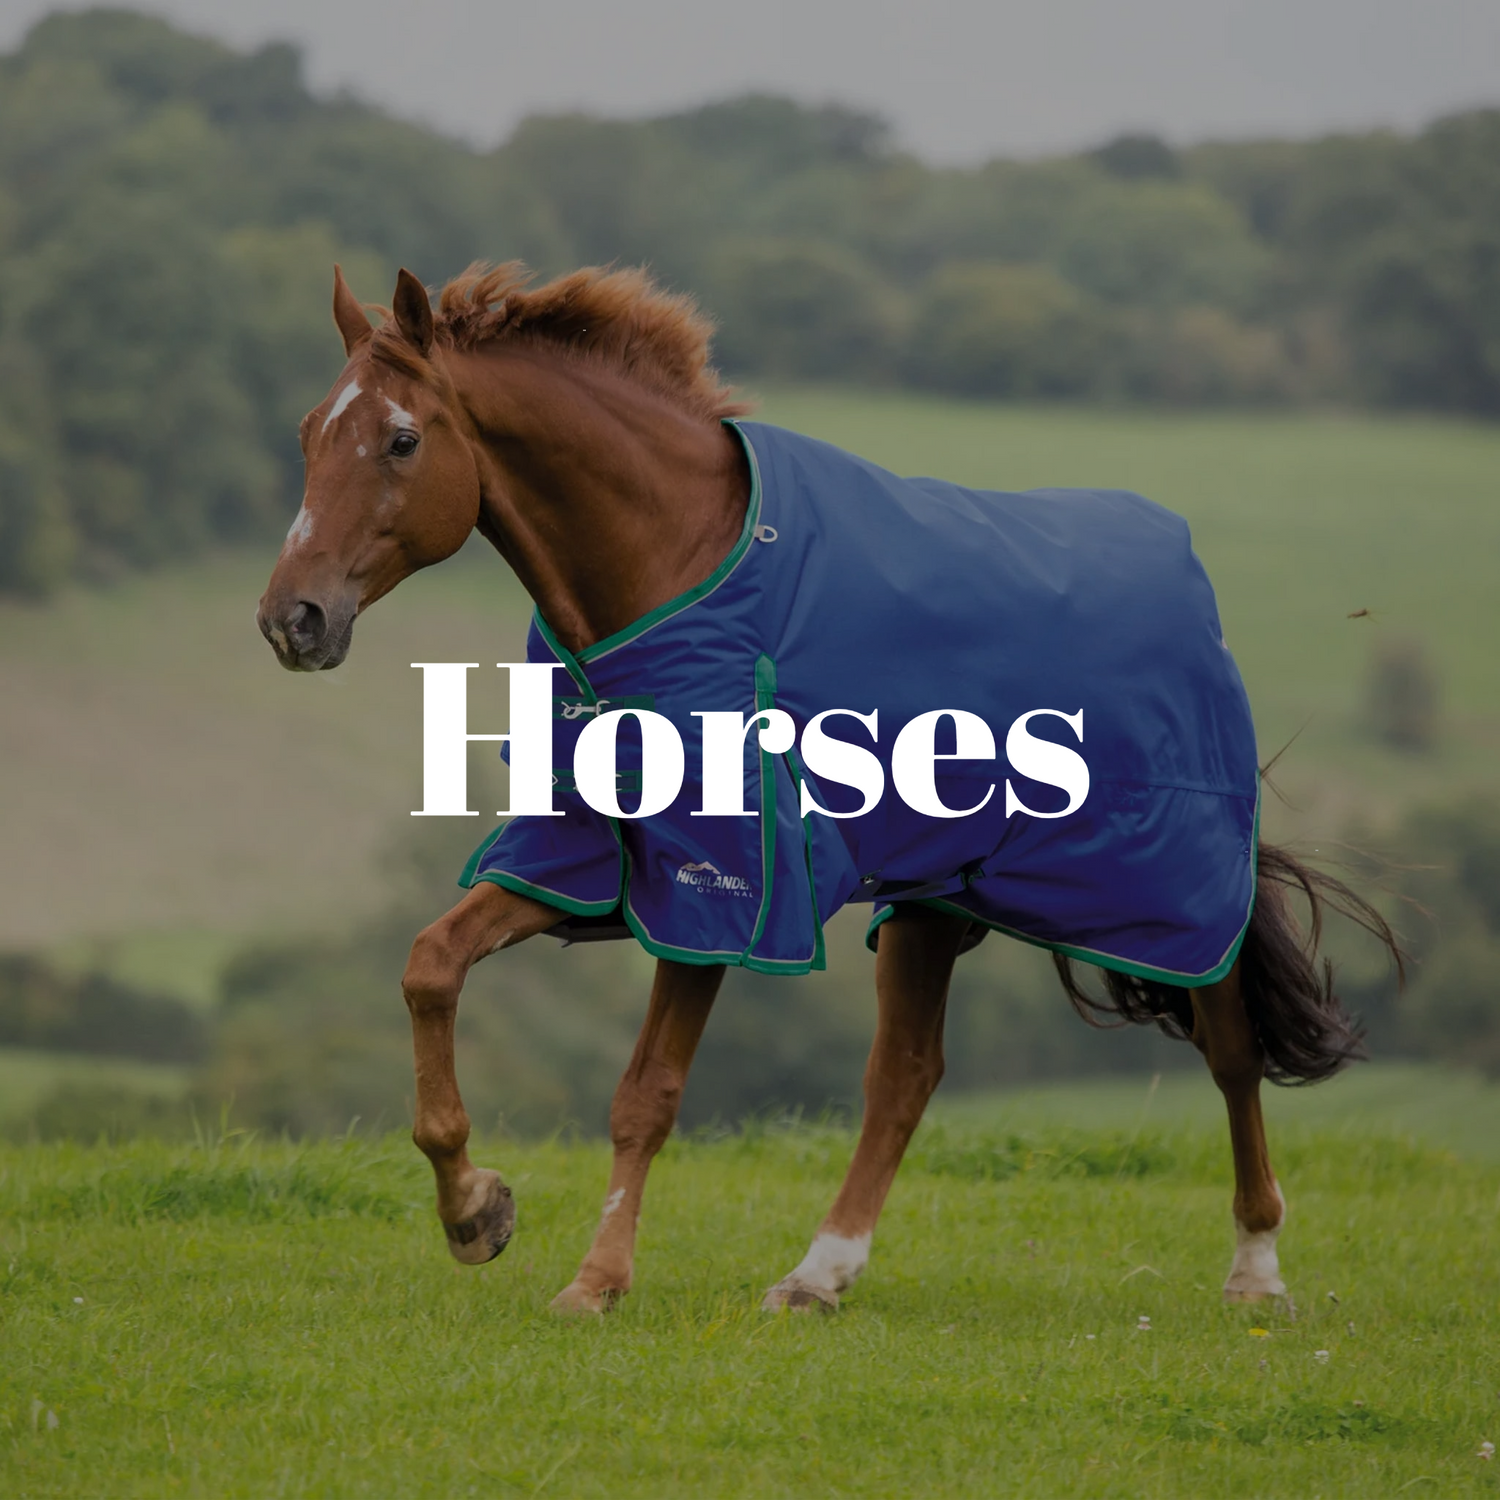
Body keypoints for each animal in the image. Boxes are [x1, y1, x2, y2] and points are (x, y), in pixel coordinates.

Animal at [257, 262, 1401, 1315]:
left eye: (402, 440)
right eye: (311, 431)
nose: (291, 619)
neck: (675, 566)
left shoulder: (726, 881)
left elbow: (646, 1093)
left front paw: (596, 1280)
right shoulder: (583, 855)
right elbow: (431, 968)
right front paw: (475, 1211)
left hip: (1167, 888)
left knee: (1230, 1047)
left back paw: (1256, 1268)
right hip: (938, 895)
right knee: (905, 1077)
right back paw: (820, 1273)